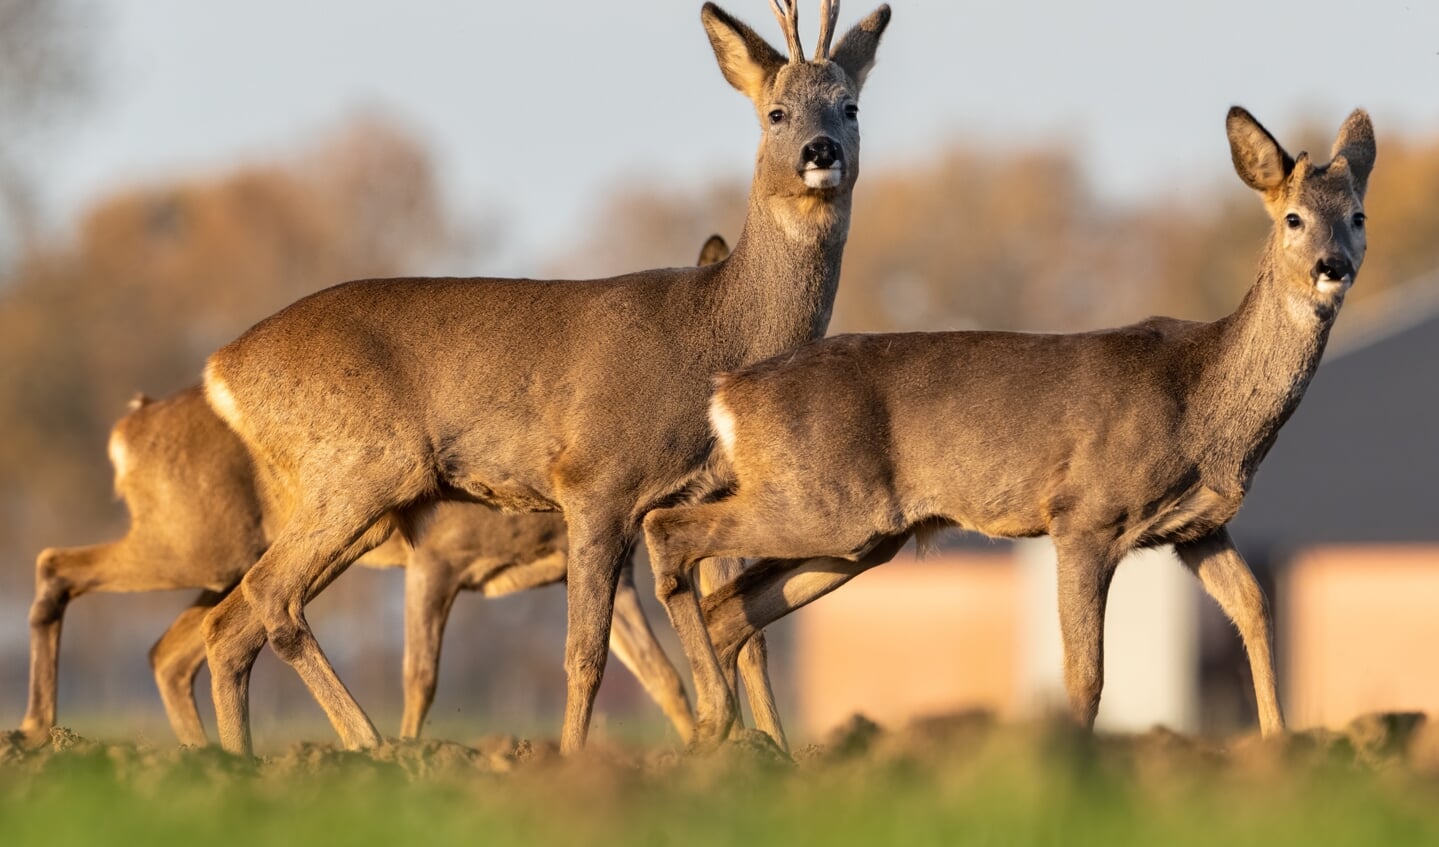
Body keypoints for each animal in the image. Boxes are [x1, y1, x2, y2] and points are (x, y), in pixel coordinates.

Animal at [14, 237, 765, 747]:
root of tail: (131, 425)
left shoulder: (598, 565)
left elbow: (663, 672)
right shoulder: (437, 560)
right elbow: (421, 677)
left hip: (226, 555)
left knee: (171, 648)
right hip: (197, 540)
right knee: (62, 567)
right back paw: (41, 731)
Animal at [647, 107, 1375, 742]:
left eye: (1357, 216)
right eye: (1292, 218)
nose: (1332, 267)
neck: (1203, 404)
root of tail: (728, 392)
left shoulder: (1197, 528)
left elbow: (1254, 610)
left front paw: (1280, 746)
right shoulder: (1085, 515)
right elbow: (1085, 674)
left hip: (855, 535)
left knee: (729, 611)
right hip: (821, 505)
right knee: (668, 531)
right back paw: (713, 728)